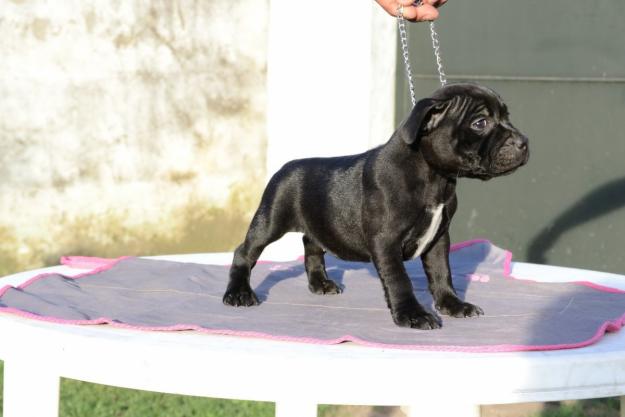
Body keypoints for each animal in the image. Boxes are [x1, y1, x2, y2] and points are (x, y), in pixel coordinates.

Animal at [223, 82, 528, 328]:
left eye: (507, 117)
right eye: (480, 123)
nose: (524, 141)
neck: (435, 177)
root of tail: (288, 165)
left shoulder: (439, 238)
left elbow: (443, 273)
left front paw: (452, 305)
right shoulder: (386, 241)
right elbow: (399, 279)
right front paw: (413, 315)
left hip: (318, 222)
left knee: (311, 245)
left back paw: (320, 283)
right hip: (271, 218)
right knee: (245, 252)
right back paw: (238, 293)